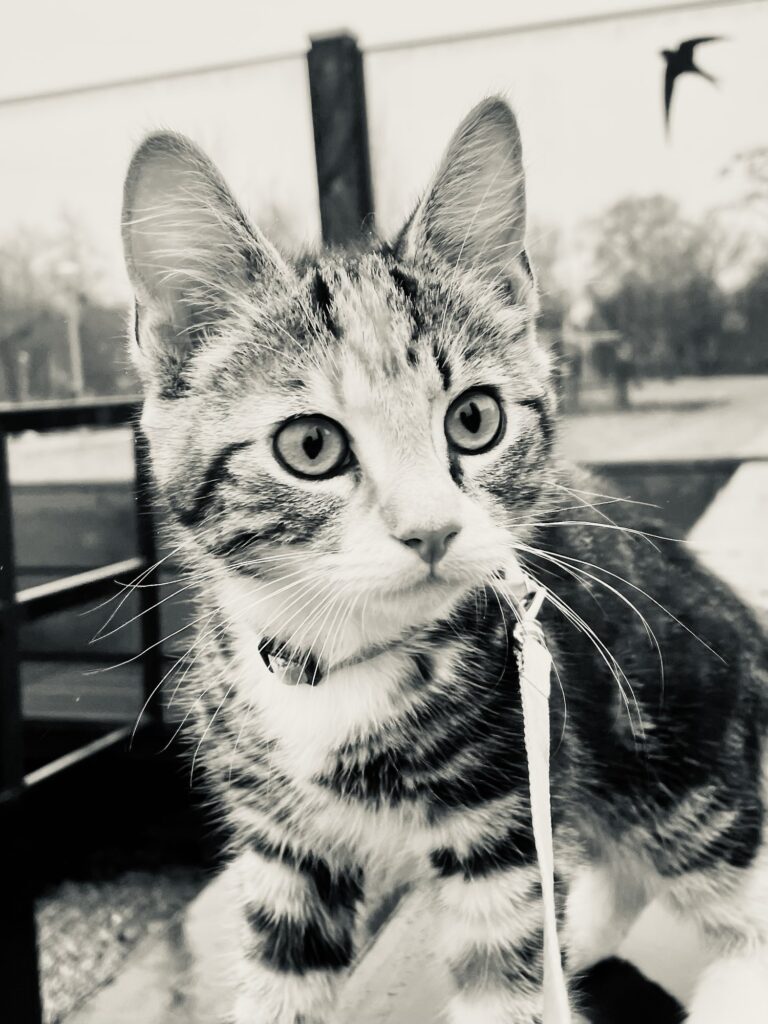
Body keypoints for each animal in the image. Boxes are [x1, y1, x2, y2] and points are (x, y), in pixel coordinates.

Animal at [121, 98, 768, 1024]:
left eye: (474, 419)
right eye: (310, 445)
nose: (429, 529)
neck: (341, 658)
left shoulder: (507, 820)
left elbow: (509, 979)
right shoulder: (284, 844)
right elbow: (281, 973)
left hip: (678, 754)